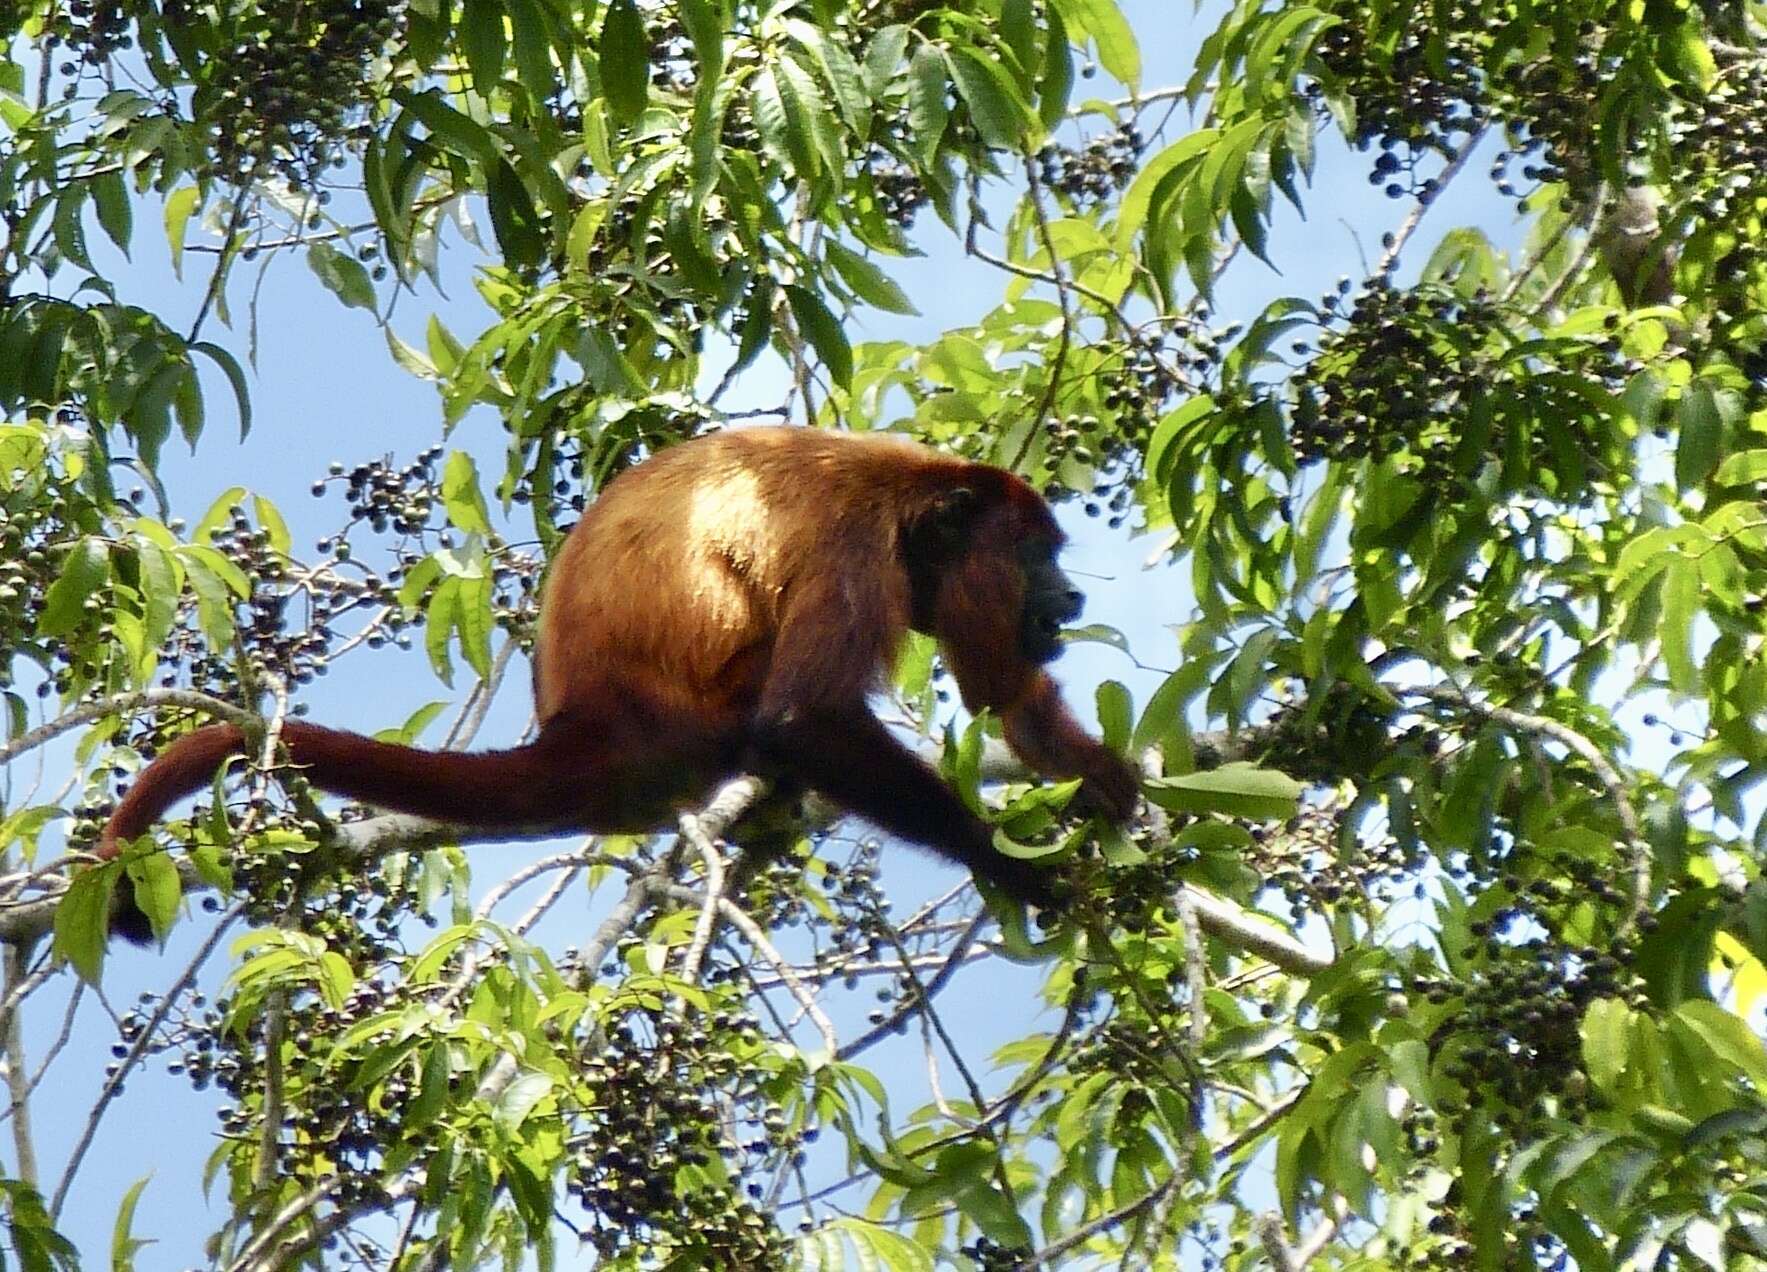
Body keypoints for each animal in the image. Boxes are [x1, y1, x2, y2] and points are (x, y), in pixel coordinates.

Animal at [96, 429, 1137, 946]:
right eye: (1037, 555)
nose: (1072, 594)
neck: (912, 503)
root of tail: (583, 724)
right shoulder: (855, 549)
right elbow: (805, 718)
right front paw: (1011, 864)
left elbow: (1007, 693)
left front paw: (1100, 780)